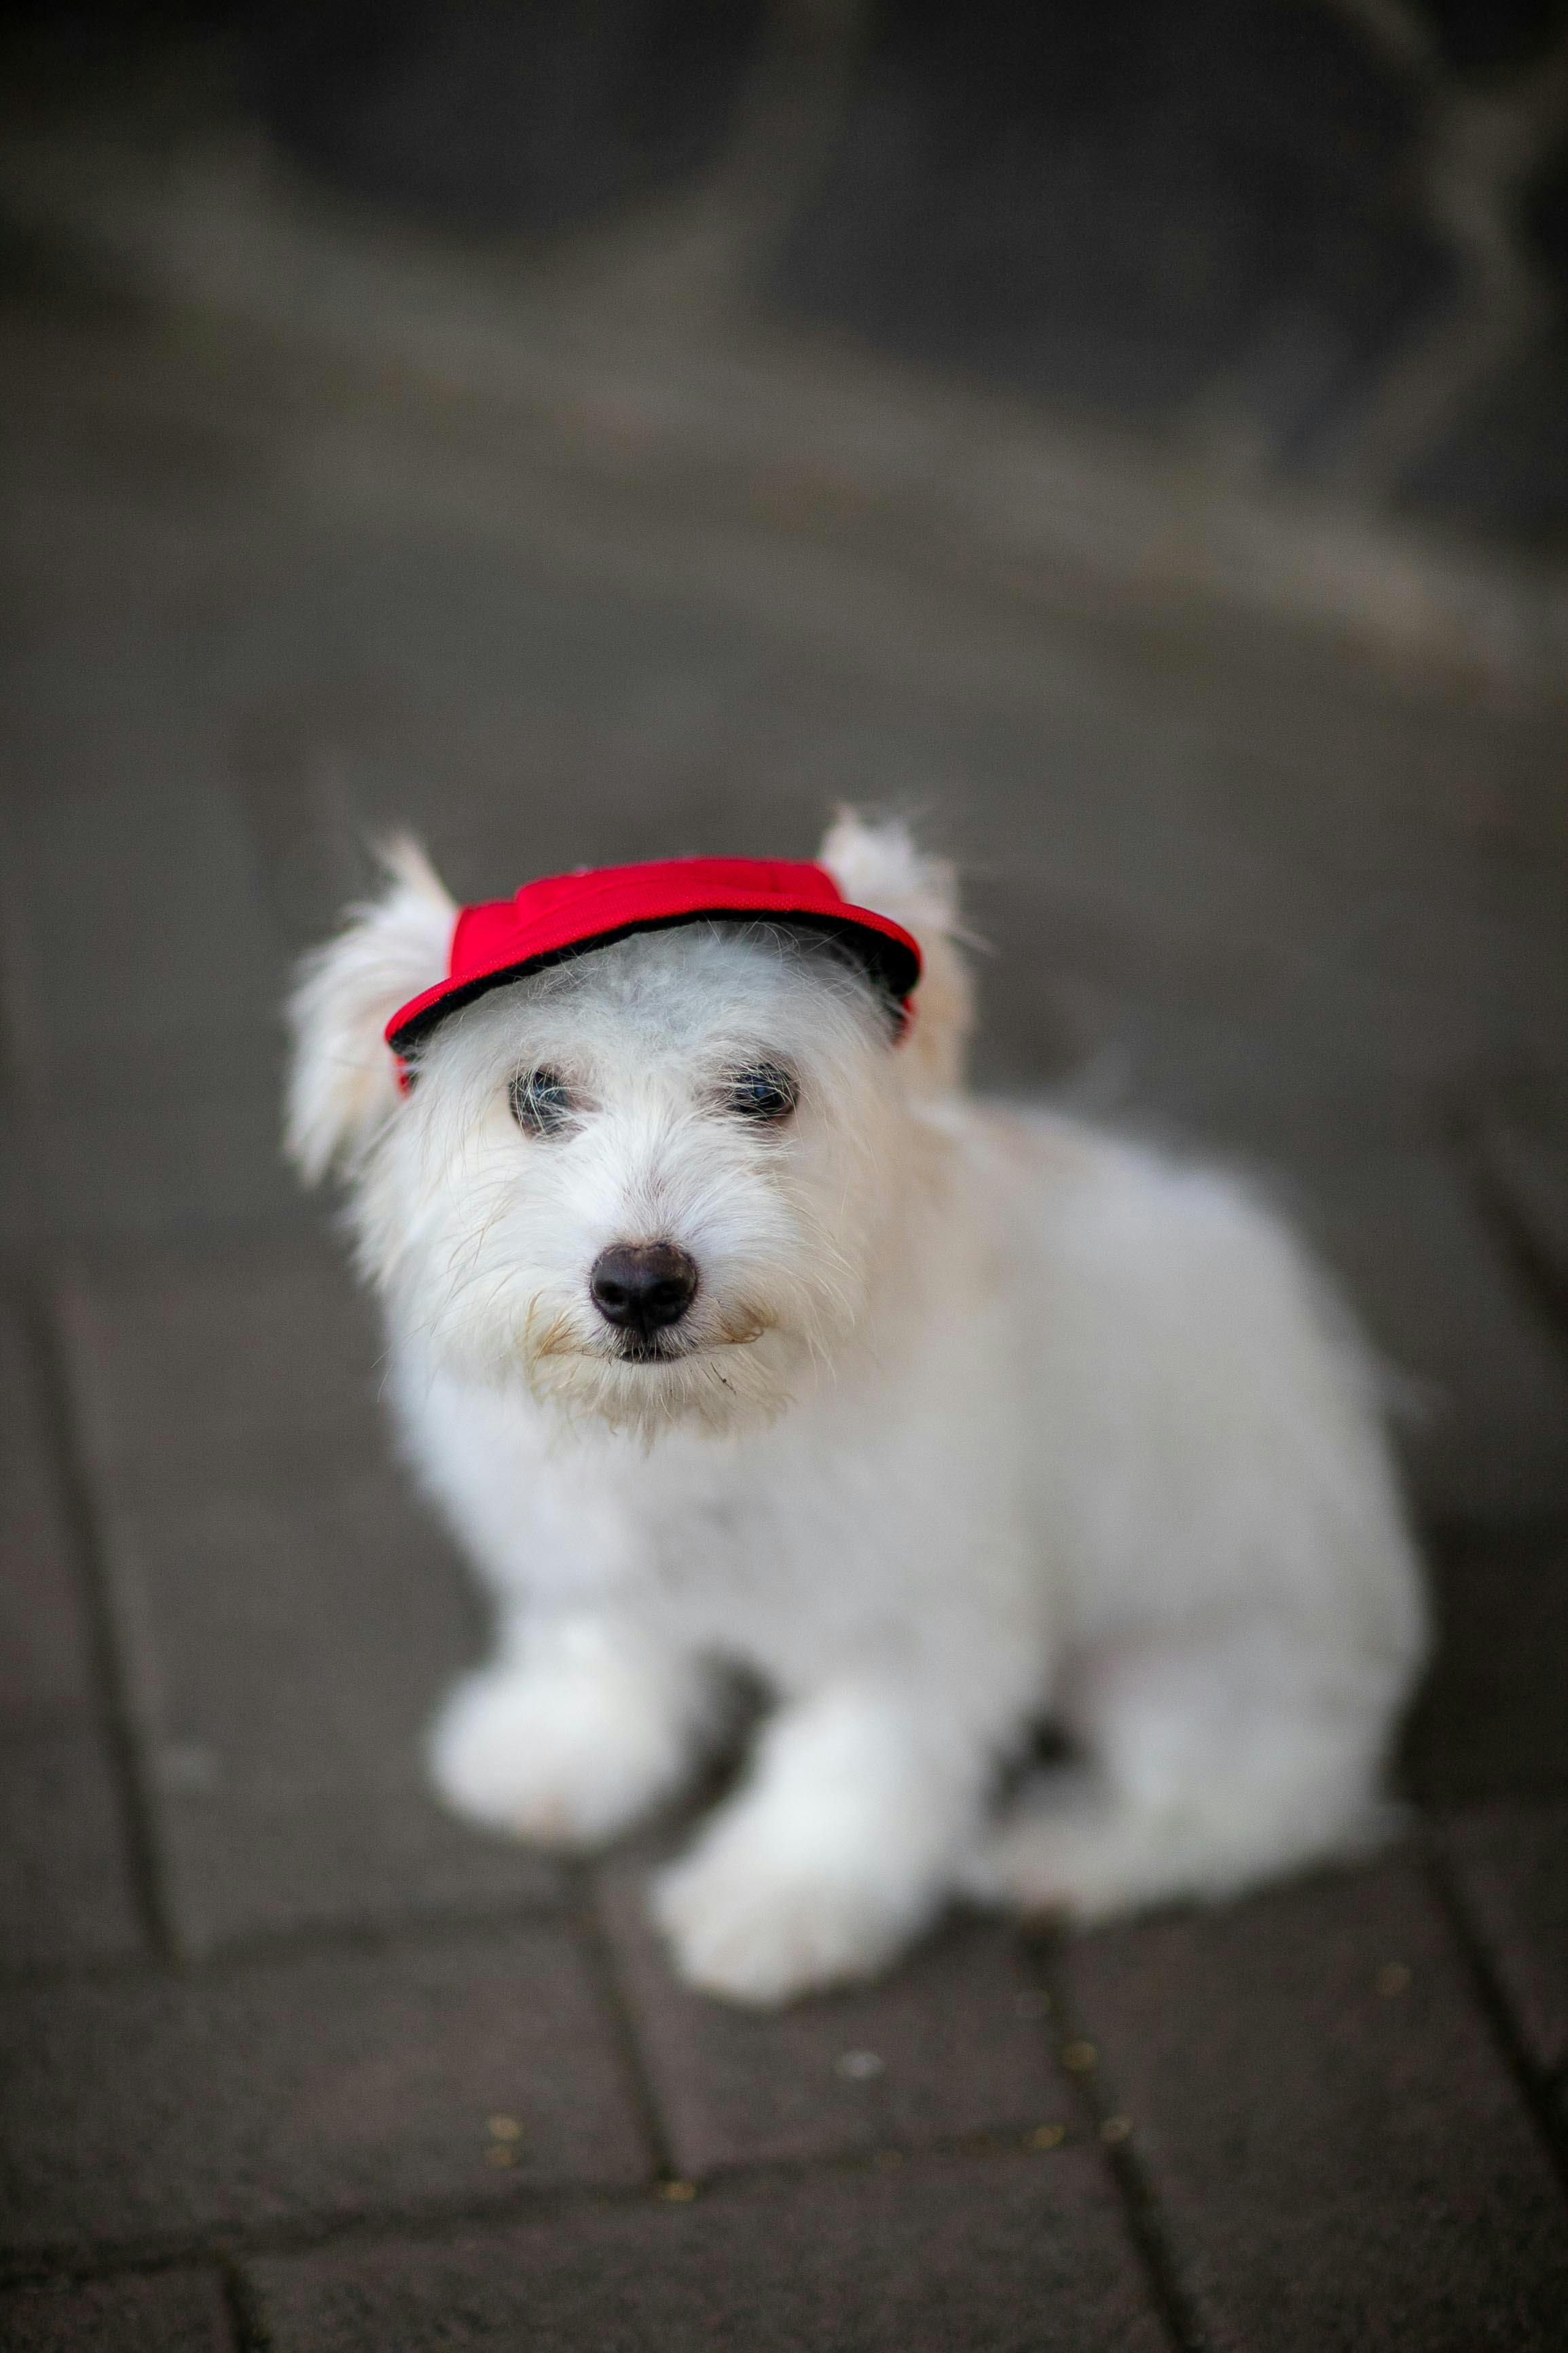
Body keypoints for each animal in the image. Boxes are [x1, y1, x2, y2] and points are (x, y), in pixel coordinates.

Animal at [288, 814, 1429, 2005]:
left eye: (761, 1091)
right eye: (540, 1094)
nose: (641, 1285)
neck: (704, 1424)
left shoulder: (920, 1618)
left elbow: (856, 1766)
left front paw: (783, 1902)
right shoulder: (585, 1541)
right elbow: (608, 1647)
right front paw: (564, 1748)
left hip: (1189, 1667)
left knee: (1262, 1804)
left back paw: (1071, 1854)